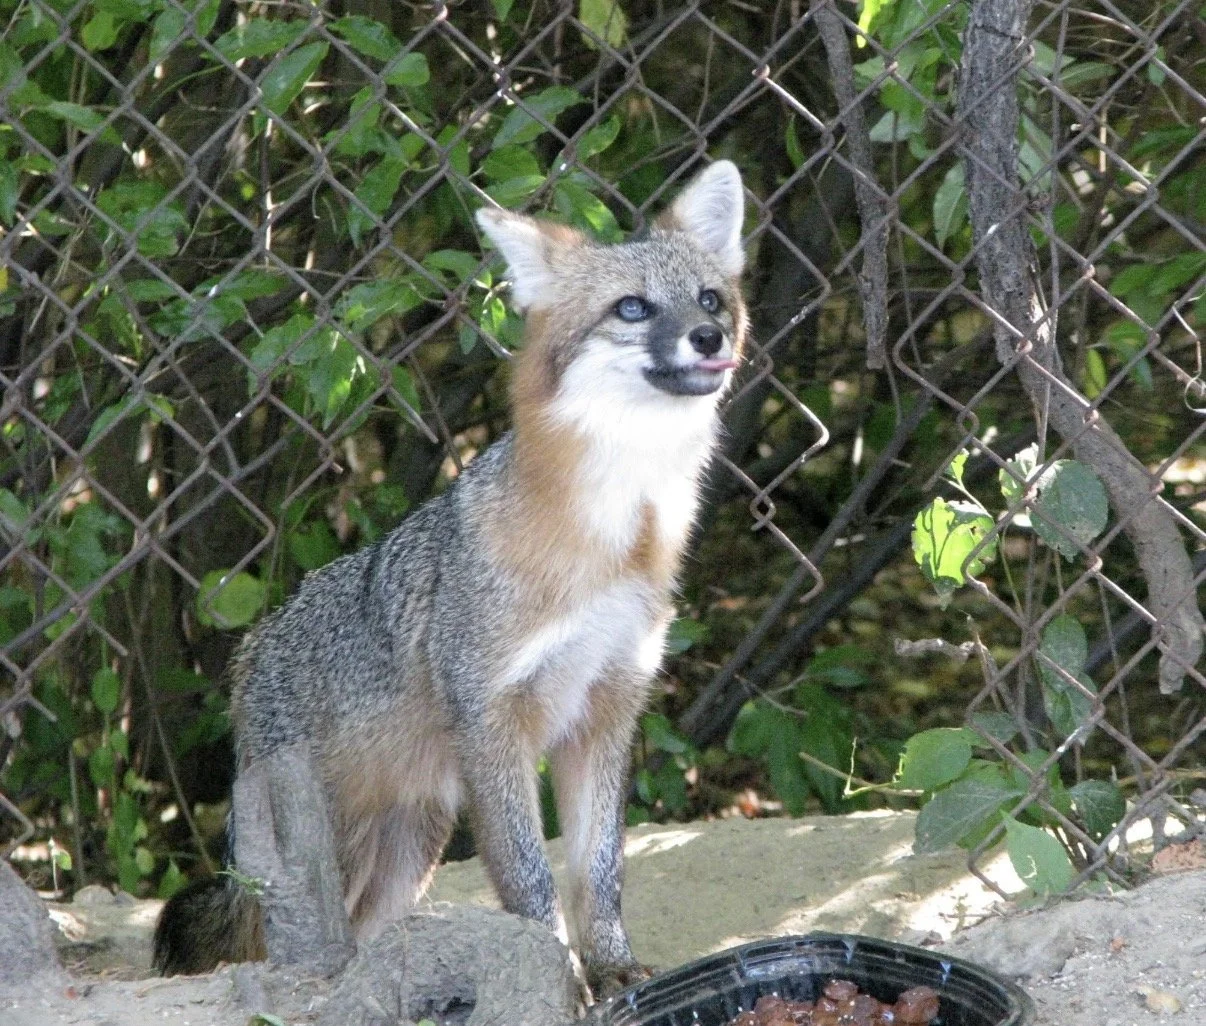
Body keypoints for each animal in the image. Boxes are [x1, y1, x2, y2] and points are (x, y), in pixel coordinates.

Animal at [152, 159, 748, 995]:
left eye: (709, 298)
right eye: (632, 308)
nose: (709, 335)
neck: (613, 541)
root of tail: (252, 651)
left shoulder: (605, 713)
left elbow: (598, 873)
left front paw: (612, 969)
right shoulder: (493, 724)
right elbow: (531, 882)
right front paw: (557, 981)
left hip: (416, 838)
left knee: (370, 936)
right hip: (340, 850)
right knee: (287, 948)